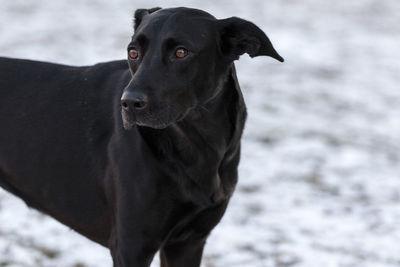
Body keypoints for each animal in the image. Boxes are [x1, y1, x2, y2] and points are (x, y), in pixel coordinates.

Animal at [0, 6, 282, 267]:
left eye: (181, 52)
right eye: (133, 52)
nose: (129, 103)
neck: (196, 143)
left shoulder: (189, 242)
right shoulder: (131, 246)